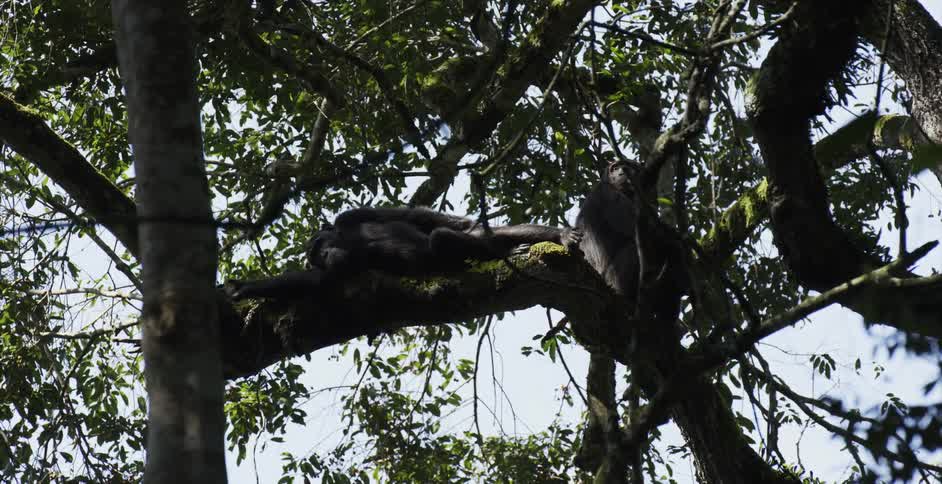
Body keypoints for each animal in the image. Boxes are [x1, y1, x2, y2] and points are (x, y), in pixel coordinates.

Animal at [227, 206, 582, 300]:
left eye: (317, 247)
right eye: (315, 257)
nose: (321, 256)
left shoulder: (350, 215)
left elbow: (412, 215)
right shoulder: (333, 274)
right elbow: (312, 283)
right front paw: (247, 288)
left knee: (449, 234)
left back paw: (553, 236)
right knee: (445, 241)